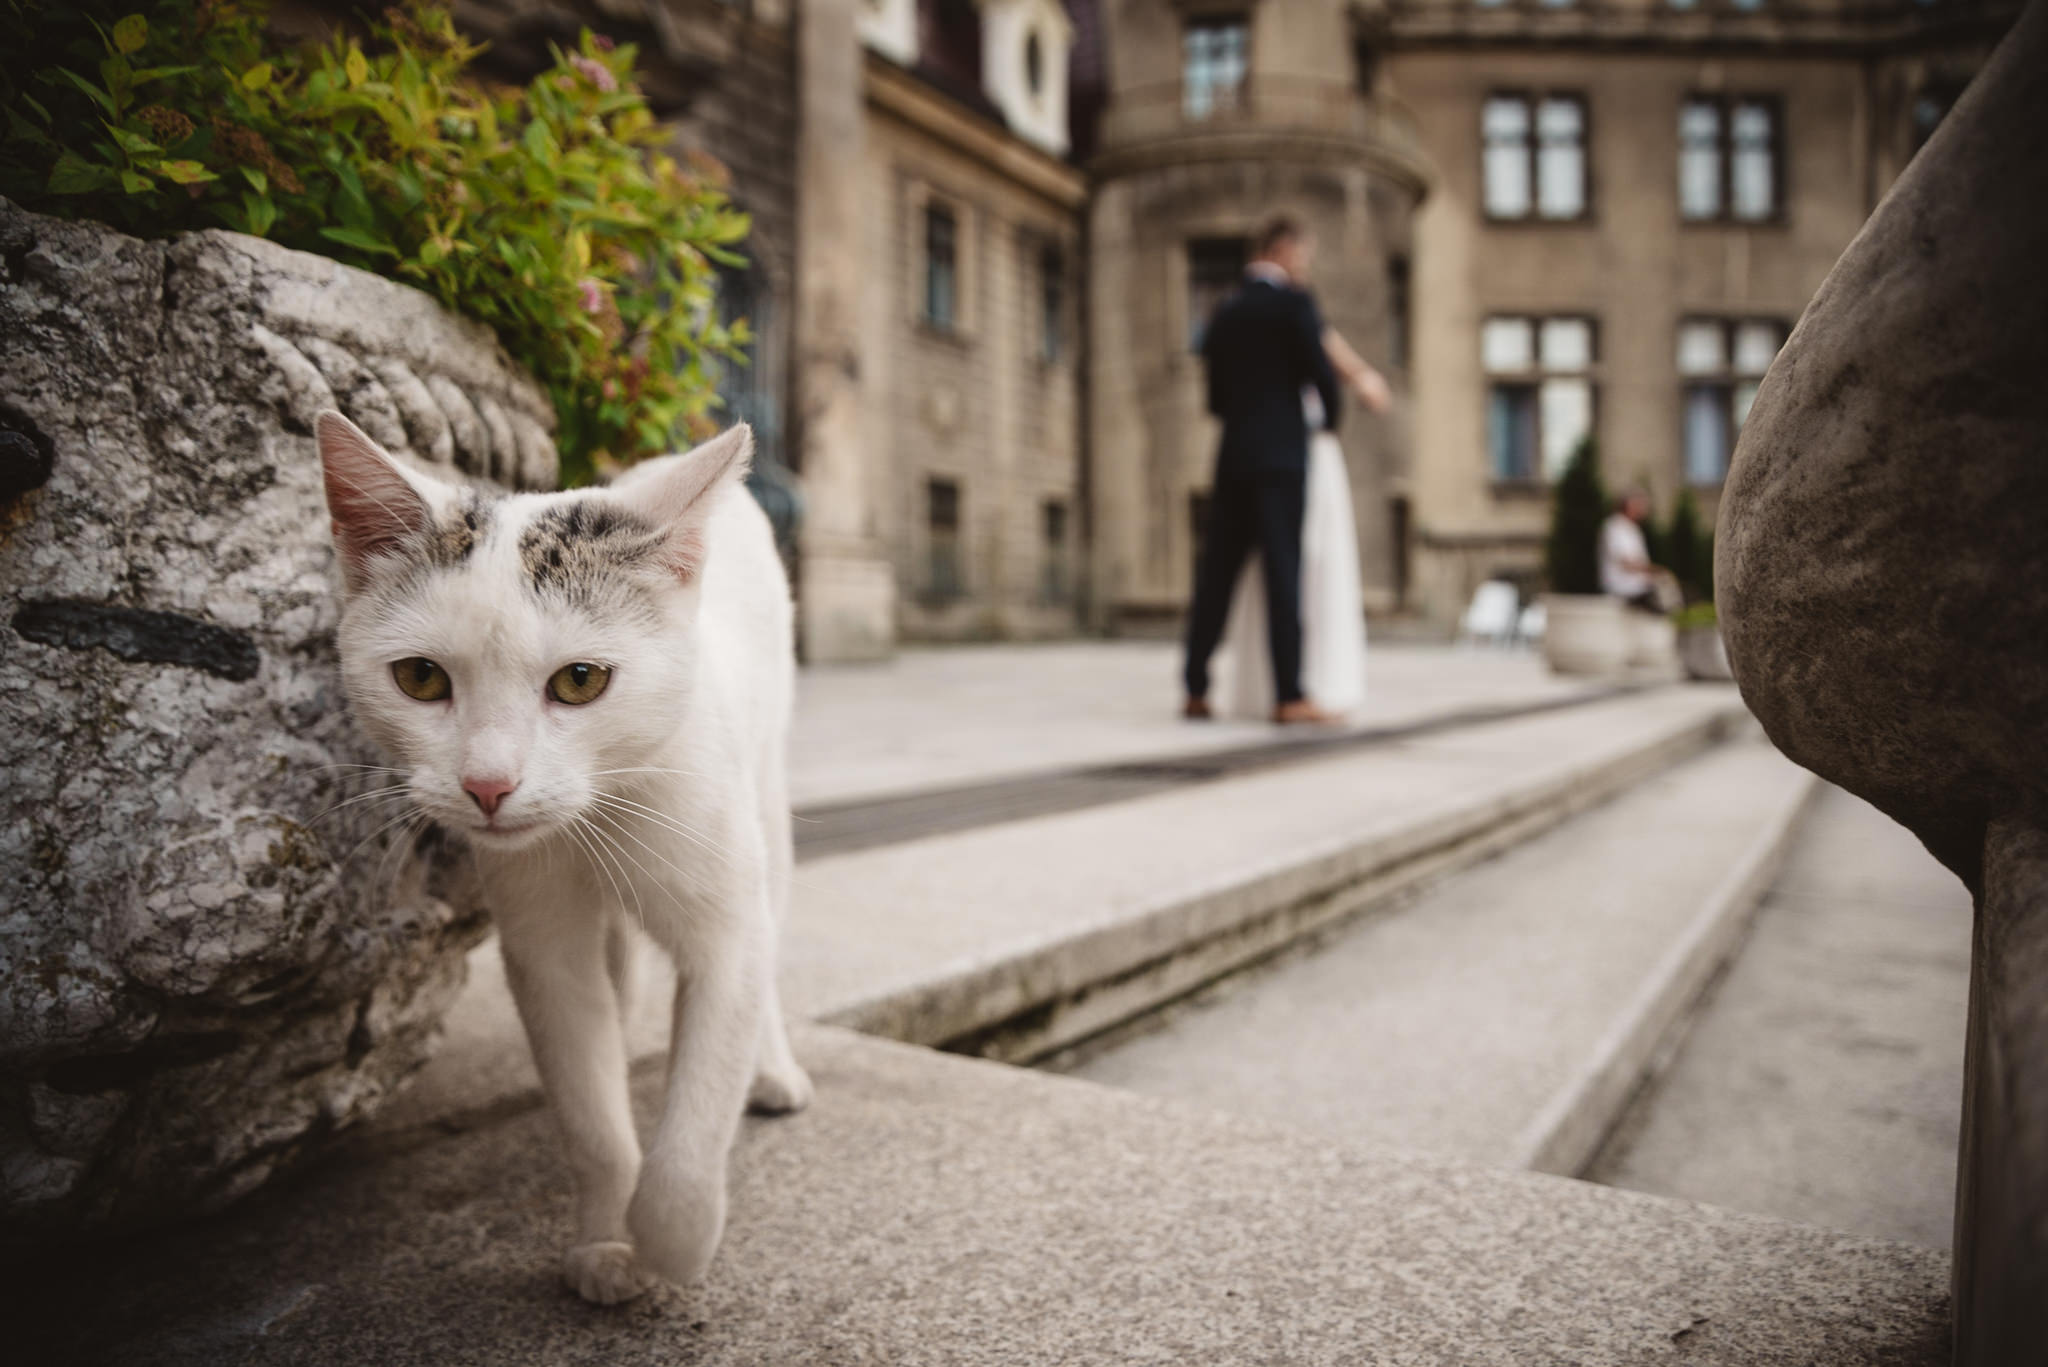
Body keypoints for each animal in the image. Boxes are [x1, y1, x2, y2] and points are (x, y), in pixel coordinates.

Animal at [311, 409, 806, 1303]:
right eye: (420, 677)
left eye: (580, 680)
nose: (487, 784)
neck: (593, 818)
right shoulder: (542, 942)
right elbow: (589, 1102)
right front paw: (605, 1241)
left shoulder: (725, 919)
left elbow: (704, 1090)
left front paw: (673, 1238)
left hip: (767, 792)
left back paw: (774, 1070)